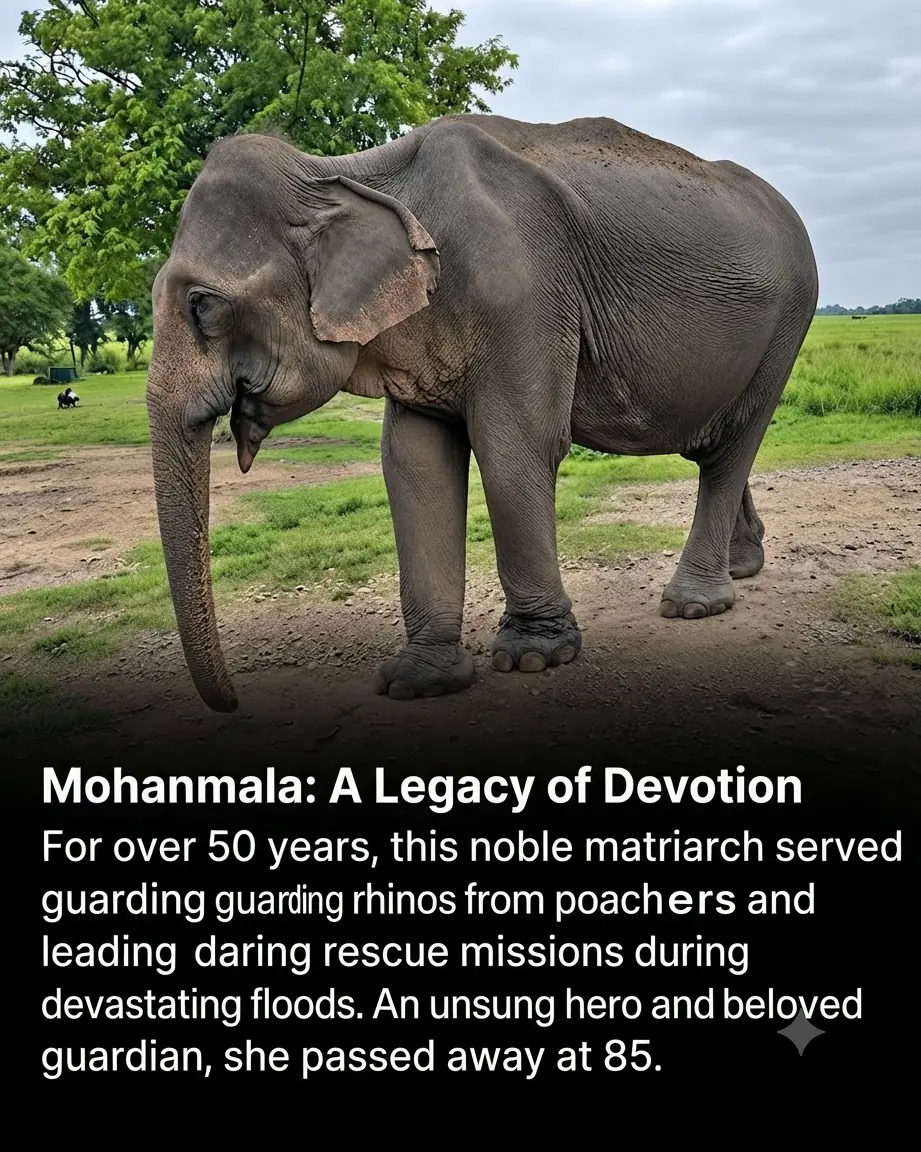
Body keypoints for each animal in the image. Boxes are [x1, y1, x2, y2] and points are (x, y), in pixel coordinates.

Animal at [147, 114, 818, 713]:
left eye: (203, 306)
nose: (234, 703)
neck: (348, 173)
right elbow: (414, 464)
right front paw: (419, 680)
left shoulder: (523, 294)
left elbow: (514, 448)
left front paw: (534, 657)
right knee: (712, 446)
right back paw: (743, 566)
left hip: (788, 322)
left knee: (731, 447)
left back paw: (694, 603)